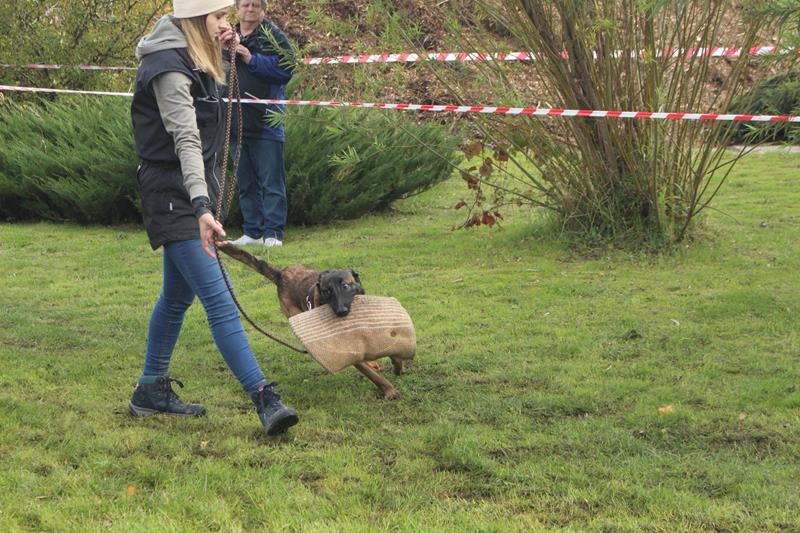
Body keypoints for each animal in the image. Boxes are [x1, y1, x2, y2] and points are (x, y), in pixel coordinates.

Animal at [216, 242, 405, 400]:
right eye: (327, 291)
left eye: (345, 286)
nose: (341, 312)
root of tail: (281, 274)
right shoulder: (348, 351)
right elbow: (371, 373)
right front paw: (389, 389)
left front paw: (398, 366)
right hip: (293, 314)